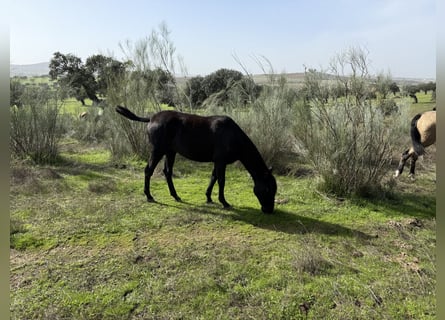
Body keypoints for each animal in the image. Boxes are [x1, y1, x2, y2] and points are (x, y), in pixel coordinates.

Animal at [113, 106, 278, 214]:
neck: (232, 135)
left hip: (170, 151)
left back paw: (175, 195)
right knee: (149, 170)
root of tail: (152, 118)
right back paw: (149, 196)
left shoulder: (217, 161)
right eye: (268, 189)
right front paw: (224, 202)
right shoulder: (221, 161)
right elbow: (221, 180)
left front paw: (209, 197)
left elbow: (213, 177)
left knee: (167, 172)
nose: (269, 210)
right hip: (158, 150)